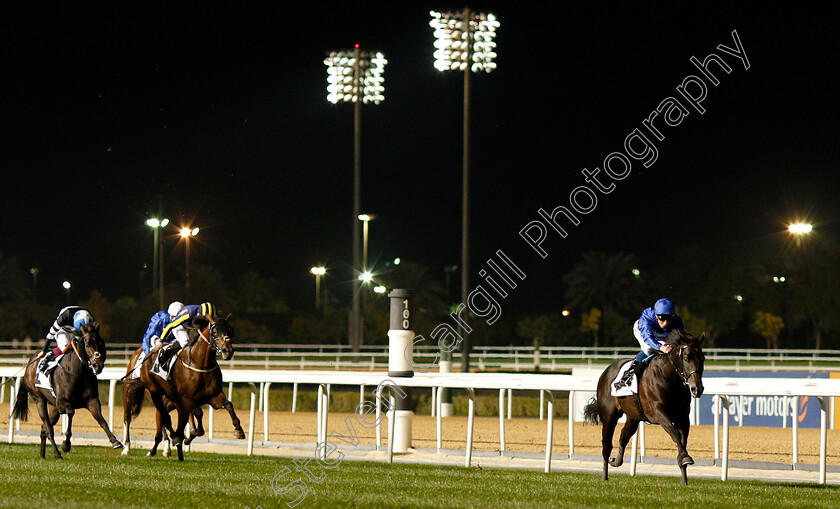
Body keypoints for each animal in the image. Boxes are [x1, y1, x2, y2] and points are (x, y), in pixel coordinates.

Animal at [11, 326, 124, 460]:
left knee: (44, 427)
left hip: (53, 407)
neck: (79, 373)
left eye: (101, 343)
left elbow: (101, 419)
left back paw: (42, 455)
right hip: (39, 399)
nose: (98, 365)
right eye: (87, 344)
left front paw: (115, 441)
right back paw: (57, 453)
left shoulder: (92, 401)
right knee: (48, 428)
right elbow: (70, 412)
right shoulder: (62, 402)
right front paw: (66, 444)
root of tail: (30, 364)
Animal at [123, 314, 244, 460]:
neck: (201, 365)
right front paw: (190, 434)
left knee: (166, 419)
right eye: (214, 331)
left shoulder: (213, 396)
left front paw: (238, 430)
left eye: (231, 331)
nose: (227, 351)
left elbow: (228, 404)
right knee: (135, 418)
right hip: (149, 393)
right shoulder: (184, 399)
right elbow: (198, 412)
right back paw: (128, 448)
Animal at [584, 330, 704, 484]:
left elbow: (682, 441)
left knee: (623, 437)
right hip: (609, 416)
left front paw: (684, 476)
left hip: (633, 416)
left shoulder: (683, 417)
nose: (697, 389)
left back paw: (616, 461)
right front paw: (685, 458)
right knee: (606, 445)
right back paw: (605, 476)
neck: (669, 379)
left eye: (702, 358)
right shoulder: (659, 413)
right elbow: (675, 434)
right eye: (686, 358)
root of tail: (606, 372)